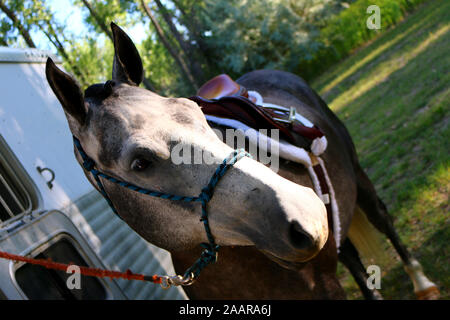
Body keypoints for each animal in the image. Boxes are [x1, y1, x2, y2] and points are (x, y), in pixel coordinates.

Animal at [44, 23, 438, 300]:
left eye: (195, 112)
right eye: (140, 163)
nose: (307, 213)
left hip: (358, 178)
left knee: (382, 219)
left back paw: (423, 283)